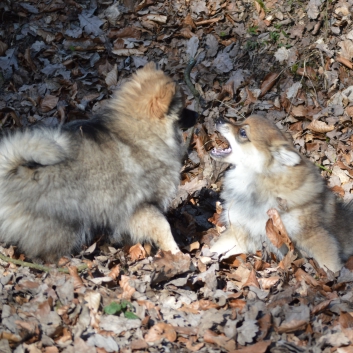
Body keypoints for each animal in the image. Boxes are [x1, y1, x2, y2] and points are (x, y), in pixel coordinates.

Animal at [0, 63, 197, 262]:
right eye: (182, 109)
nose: (197, 114)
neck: (142, 133)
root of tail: (11, 172)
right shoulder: (141, 207)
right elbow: (163, 227)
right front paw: (176, 253)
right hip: (61, 226)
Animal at [209, 115, 352, 272]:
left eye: (242, 132)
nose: (218, 118)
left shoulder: (313, 235)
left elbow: (330, 266)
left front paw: (337, 278)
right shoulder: (241, 231)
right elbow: (213, 250)